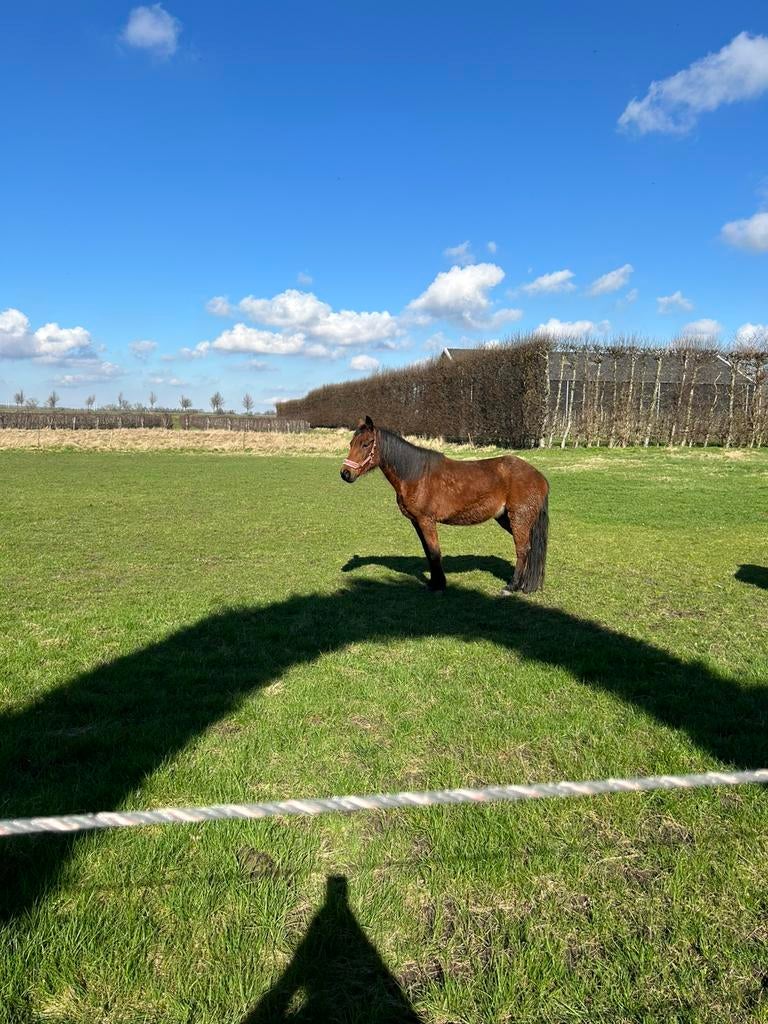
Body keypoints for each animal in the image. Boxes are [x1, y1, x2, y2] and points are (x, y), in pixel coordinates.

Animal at [341, 416, 549, 594]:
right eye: (351, 443)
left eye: (366, 443)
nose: (345, 474)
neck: (416, 475)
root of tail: (539, 476)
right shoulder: (417, 522)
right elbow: (428, 552)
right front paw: (434, 582)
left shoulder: (427, 521)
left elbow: (434, 552)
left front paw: (439, 585)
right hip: (509, 519)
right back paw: (524, 584)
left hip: (518, 518)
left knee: (522, 550)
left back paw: (512, 586)